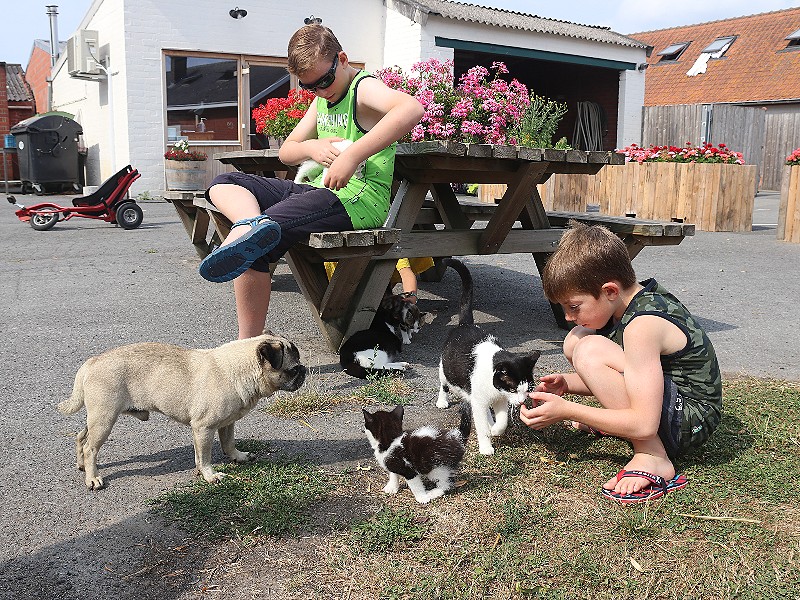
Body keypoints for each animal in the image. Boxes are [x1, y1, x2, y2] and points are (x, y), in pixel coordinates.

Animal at [57, 330, 306, 490]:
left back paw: (82, 466)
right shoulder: (204, 428)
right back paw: (93, 478)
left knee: (81, 437)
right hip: (105, 419)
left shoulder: (226, 424)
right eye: (293, 369)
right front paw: (210, 475)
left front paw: (238, 457)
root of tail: (91, 362)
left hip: (97, 418)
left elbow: (228, 444)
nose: (304, 370)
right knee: (90, 447)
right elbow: (204, 457)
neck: (239, 369)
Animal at [438, 258, 544, 454]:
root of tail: (465, 324)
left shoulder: (500, 399)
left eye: (527, 389)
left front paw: (495, 429)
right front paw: (486, 446)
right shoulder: (480, 401)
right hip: (445, 367)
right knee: (444, 384)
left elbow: (502, 421)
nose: (521, 402)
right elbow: (480, 425)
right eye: (513, 389)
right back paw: (442, 400)